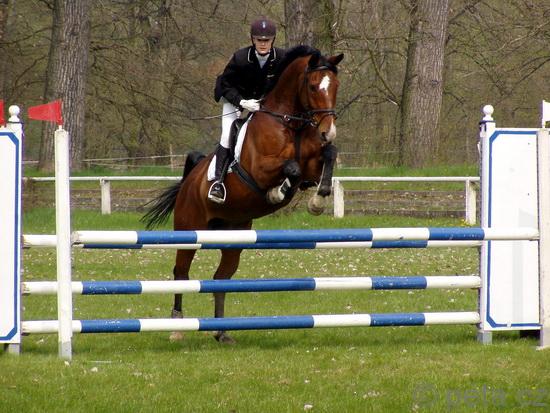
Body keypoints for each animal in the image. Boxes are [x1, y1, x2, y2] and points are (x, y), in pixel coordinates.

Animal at [142, 45, 344, 343]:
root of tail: (190, 181)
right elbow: (291, 168)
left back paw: (221, 332)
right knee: (181, 272)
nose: (328, 131)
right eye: (312, 85)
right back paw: (177, 327)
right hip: (190, 230)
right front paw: (278, 194)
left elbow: (328, 155)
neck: (289, 122)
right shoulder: (260, 169)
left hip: (234, 235)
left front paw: (318, 200)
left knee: (220, 278)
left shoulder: (313, 163)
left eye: (336, 86)